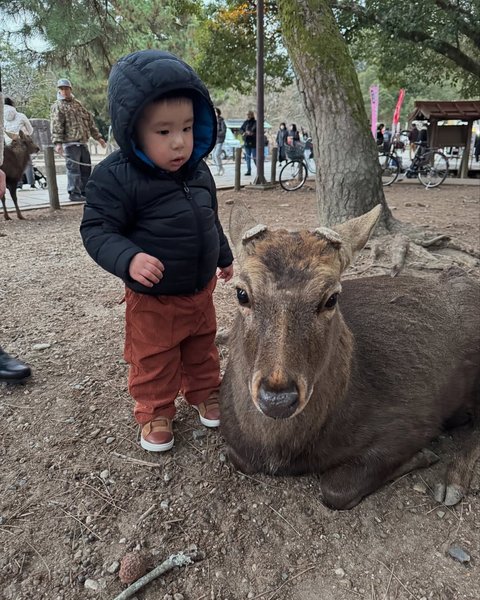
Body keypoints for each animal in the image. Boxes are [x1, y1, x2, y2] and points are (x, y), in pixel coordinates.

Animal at [219, 204, 478, 508]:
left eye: (331, 298)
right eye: (241, 293)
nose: (277, 399)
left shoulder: (412, 422)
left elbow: (336, 489)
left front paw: (424, 455)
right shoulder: (234, 444)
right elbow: (238, 458)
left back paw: (451, 483)